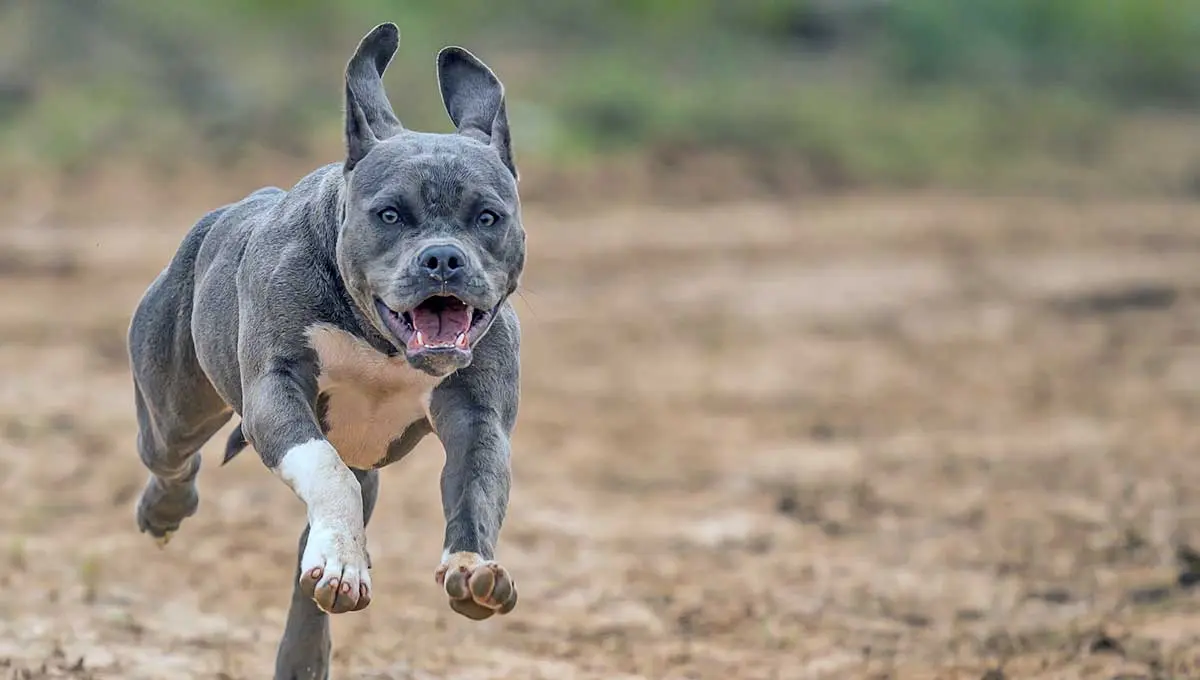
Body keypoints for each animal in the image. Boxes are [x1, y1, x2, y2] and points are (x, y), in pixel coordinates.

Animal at [125, 23, 525, 676]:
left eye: (488, 217)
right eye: (389, 214)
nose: (443, 258)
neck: (378, 338)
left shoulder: (479, 416)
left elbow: (478, 485)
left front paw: (472, 568)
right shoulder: (275, 392)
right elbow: (327, 472)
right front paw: (343, 559)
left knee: (309, 561)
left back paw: (310, 633)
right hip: (175, 407)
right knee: (171, 454)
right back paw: (169, 511)